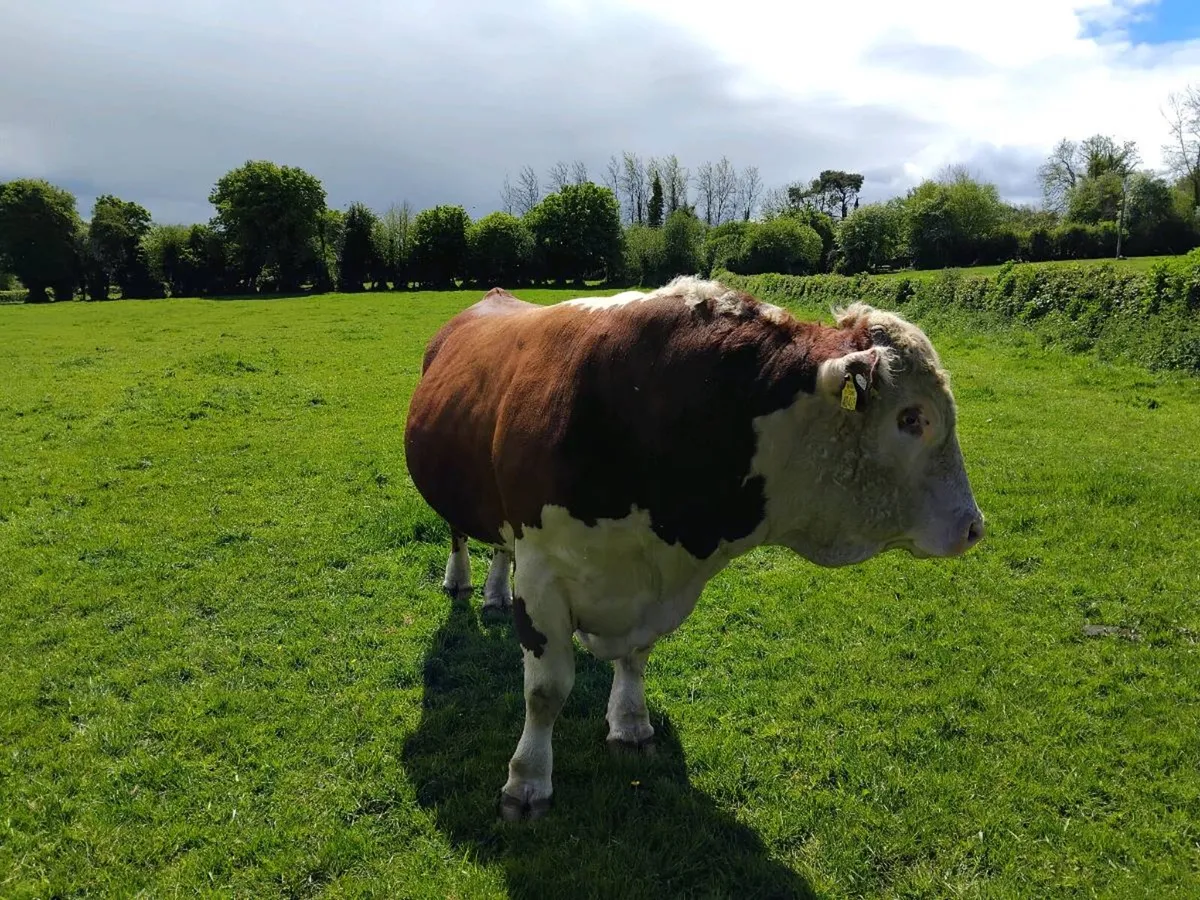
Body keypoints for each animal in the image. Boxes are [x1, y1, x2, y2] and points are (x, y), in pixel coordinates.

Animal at [403, 275, 985, 821]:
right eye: (912, 418)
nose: (974, 527)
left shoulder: (653, 584)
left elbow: (636, 658)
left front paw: (630, 724)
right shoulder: (543, 574)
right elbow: (545, 692)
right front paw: (526, 782)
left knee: (501, 545)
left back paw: (495, 594)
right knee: (459, 532)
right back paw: (461, 580)